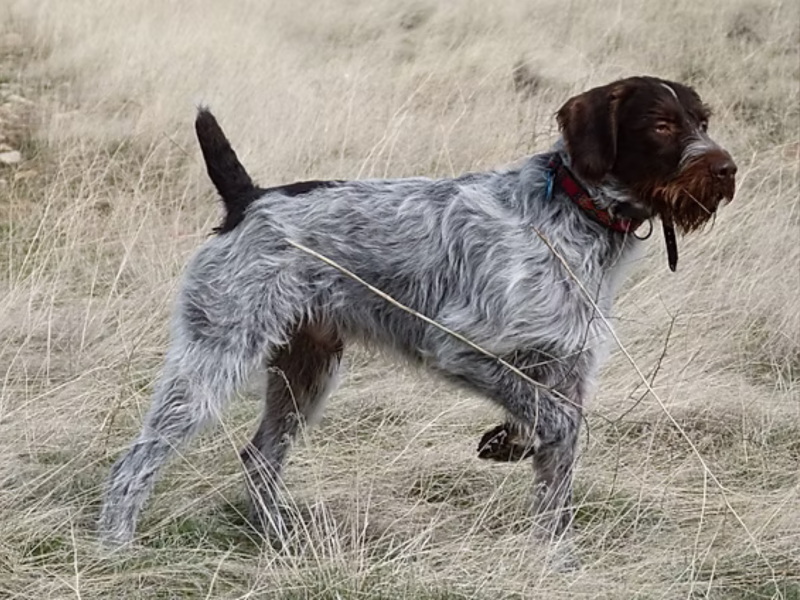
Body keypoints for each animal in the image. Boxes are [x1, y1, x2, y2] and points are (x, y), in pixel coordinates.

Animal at [98, 76, 736, 564]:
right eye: (661, 125)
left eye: (701, 120)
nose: (727, 169)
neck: (574, 214)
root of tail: (249, 201)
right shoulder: (461, 346)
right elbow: (548, 421)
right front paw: (515, 443)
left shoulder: (569, 370)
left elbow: (558, 462)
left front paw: (556, 560)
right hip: (216, 358)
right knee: (136, 459)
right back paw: (115, 548)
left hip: (306, 371)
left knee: (259, 459)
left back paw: (282, 541)